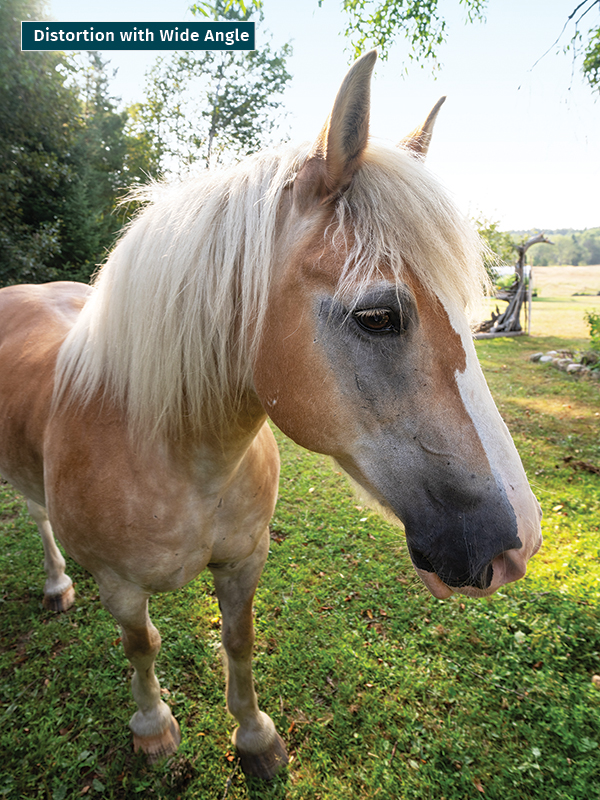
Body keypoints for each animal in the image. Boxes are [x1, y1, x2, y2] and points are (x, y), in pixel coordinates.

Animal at [0, 51, 542, 780]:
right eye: (377, 315)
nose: (518, 545)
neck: (176, 455)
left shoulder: (245, 561)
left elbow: (239, 640)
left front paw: (254, 737)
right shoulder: (119, 585)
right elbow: (142, 645)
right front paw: (153, 727)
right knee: (37, 518)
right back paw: (58, 584)